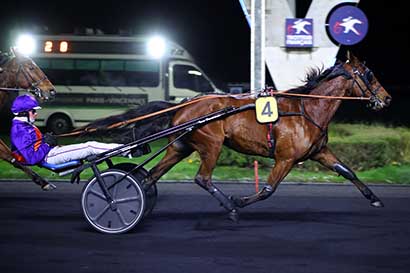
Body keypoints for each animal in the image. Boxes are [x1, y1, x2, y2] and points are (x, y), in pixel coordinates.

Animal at [81, 52, 390, 219]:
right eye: (369, 74)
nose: (386, 98)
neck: (306, 109)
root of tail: (184, 104)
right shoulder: (285, 158)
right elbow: (268, 190)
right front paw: (240, 201)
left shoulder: (319, 152)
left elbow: (347, 171)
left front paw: (375, 198)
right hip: (212, 144)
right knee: (202, 178)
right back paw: (230, 206)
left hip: (181, 146)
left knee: (149, 177)